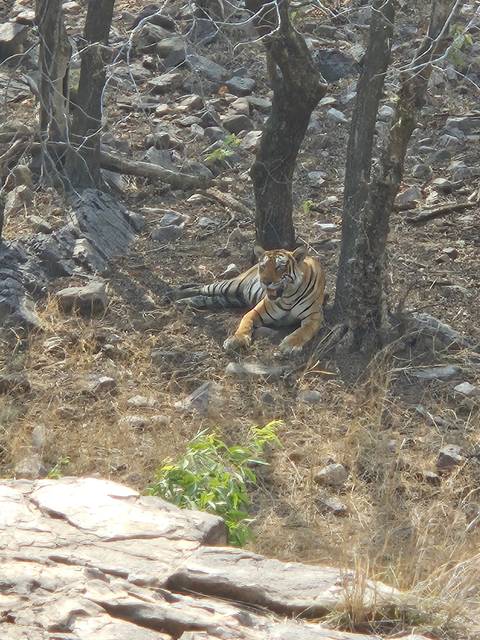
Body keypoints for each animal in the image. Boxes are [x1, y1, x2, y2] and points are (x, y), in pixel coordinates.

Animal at [174, 245, 326, 356]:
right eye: (263, 266)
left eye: (279, 267)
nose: (265, 282)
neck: (289, 295)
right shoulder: (256, 311)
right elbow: (245, 323)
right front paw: (236, 340)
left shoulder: (314, 318)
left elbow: (302, 331)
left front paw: (289, 345)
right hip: (229, 286)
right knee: (202, 287)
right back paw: (176, 293)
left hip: (230, 298)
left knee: (206, 297)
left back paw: (184, 301)